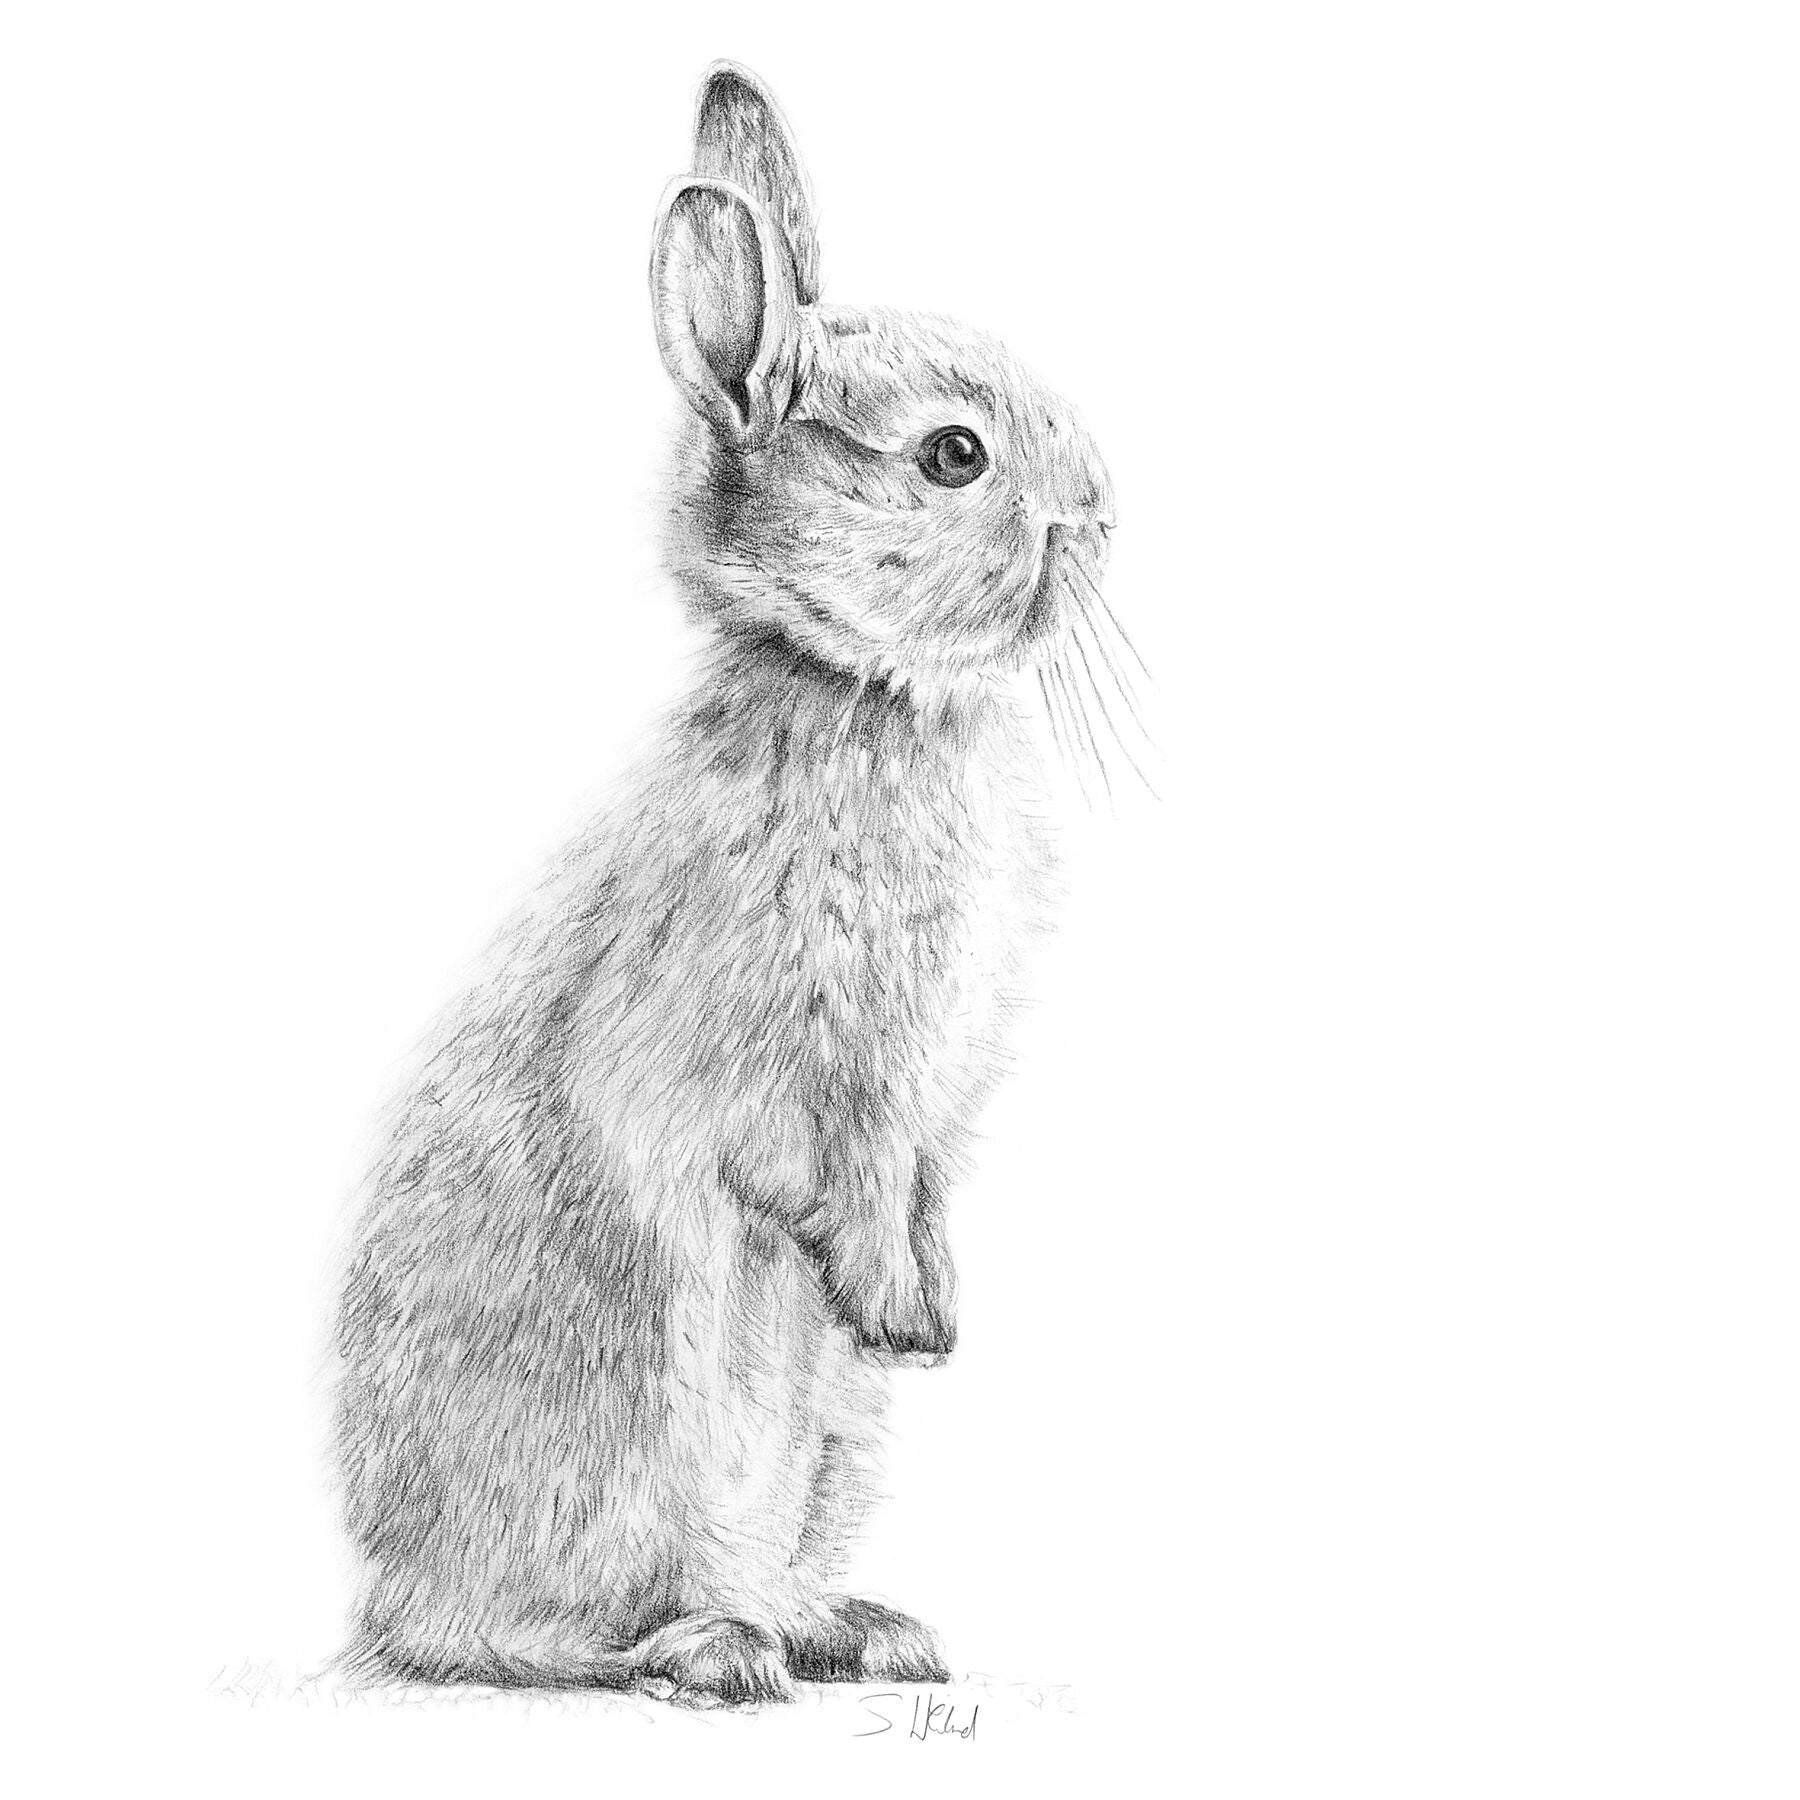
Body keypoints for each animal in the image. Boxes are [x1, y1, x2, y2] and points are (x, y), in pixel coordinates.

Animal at [333, 61, 1118, 1708]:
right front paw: (903, 1309)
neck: (870, 691)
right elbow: (843, 1166)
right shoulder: (812, 1062)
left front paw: (934, 1317)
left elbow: (922, 1182)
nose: (1102, 515)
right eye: (956, 456)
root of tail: (379, 1594)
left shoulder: (933, 1107)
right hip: (651, 1394)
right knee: (513, 1639)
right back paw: (708, 1654)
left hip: (826, 1455)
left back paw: (857, 1632)